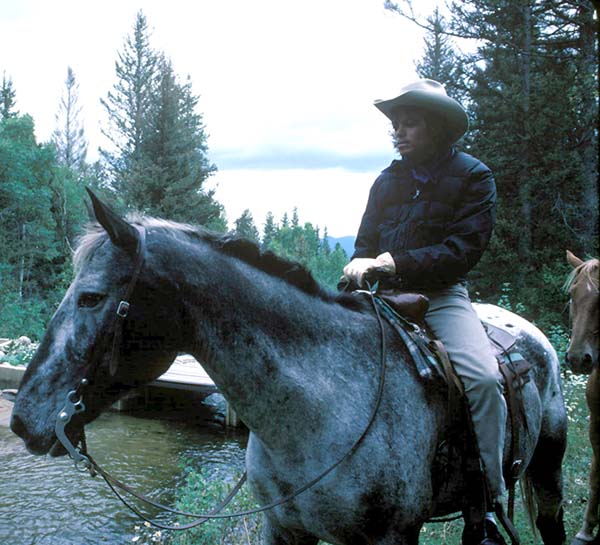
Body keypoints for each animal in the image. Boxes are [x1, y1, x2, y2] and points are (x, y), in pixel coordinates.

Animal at [11, 192, 568, 545]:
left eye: (90, 296)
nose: (21, 419)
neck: (317, 409)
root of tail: (533, 335)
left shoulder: (392, 536)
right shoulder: (284, 530)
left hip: (547, 471)